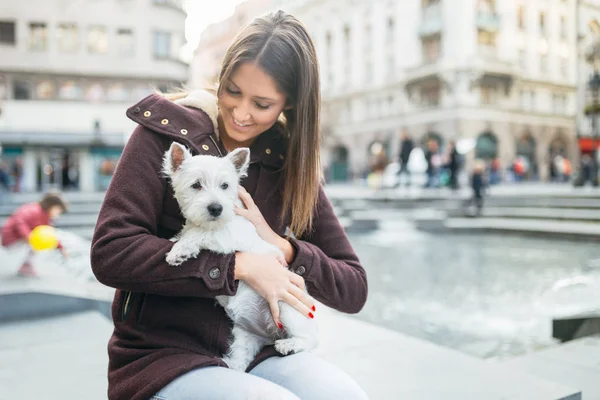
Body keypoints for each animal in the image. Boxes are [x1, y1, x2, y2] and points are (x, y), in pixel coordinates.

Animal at [159, 143, 318, 372]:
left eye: (225, 185)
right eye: (196, 185)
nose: (216, 208)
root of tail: (271, 334)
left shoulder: (229, 236)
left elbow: (200, 234)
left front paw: (180, 250)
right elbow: (188, 231)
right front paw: (177, 240)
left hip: (288, 307)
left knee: (310, 338)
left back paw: (289, 344)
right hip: (245, 334)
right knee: (243, 355)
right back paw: (231, 364)